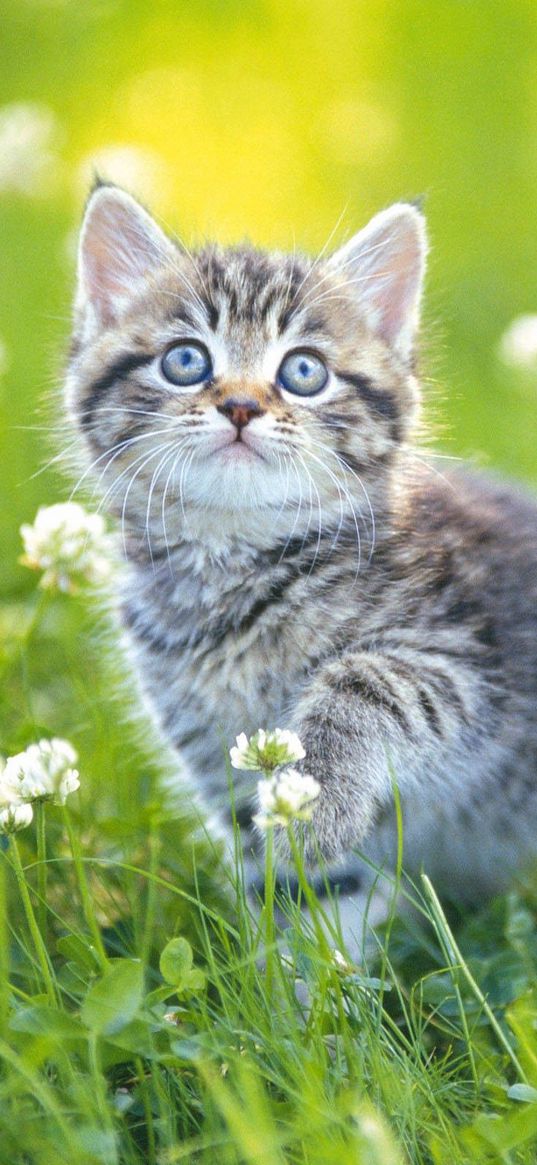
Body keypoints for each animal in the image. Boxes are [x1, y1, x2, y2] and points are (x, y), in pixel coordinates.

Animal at [64, 181, 535, 941]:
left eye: (303, 371)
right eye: (186, 361)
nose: (240, 405)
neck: (232, 568)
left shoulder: (476, 663)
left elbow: (370, 677)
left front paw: (319, 800)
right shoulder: (220, 760)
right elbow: (305, 891)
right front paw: (307, 974)